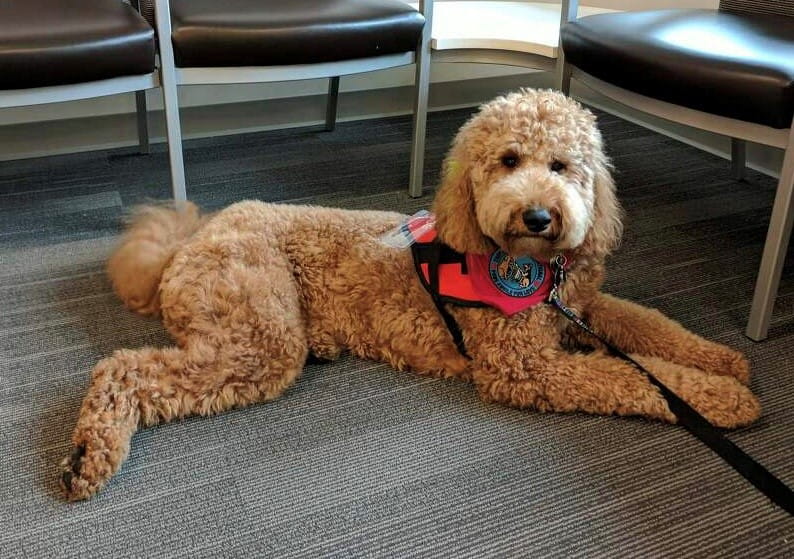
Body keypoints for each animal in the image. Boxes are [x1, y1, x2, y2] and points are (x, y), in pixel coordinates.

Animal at [60, 89, 756, 500]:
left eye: (562, 166)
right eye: (508, 160)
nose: (537, 216)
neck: (531, 269)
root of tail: (193, 236)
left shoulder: (580, 306)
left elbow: (647, 324)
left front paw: (723, 360)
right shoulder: (526, 366)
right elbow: (630, 377)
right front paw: (722, 398)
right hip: (259, 331)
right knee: (124, 369)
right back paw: (87, 455)